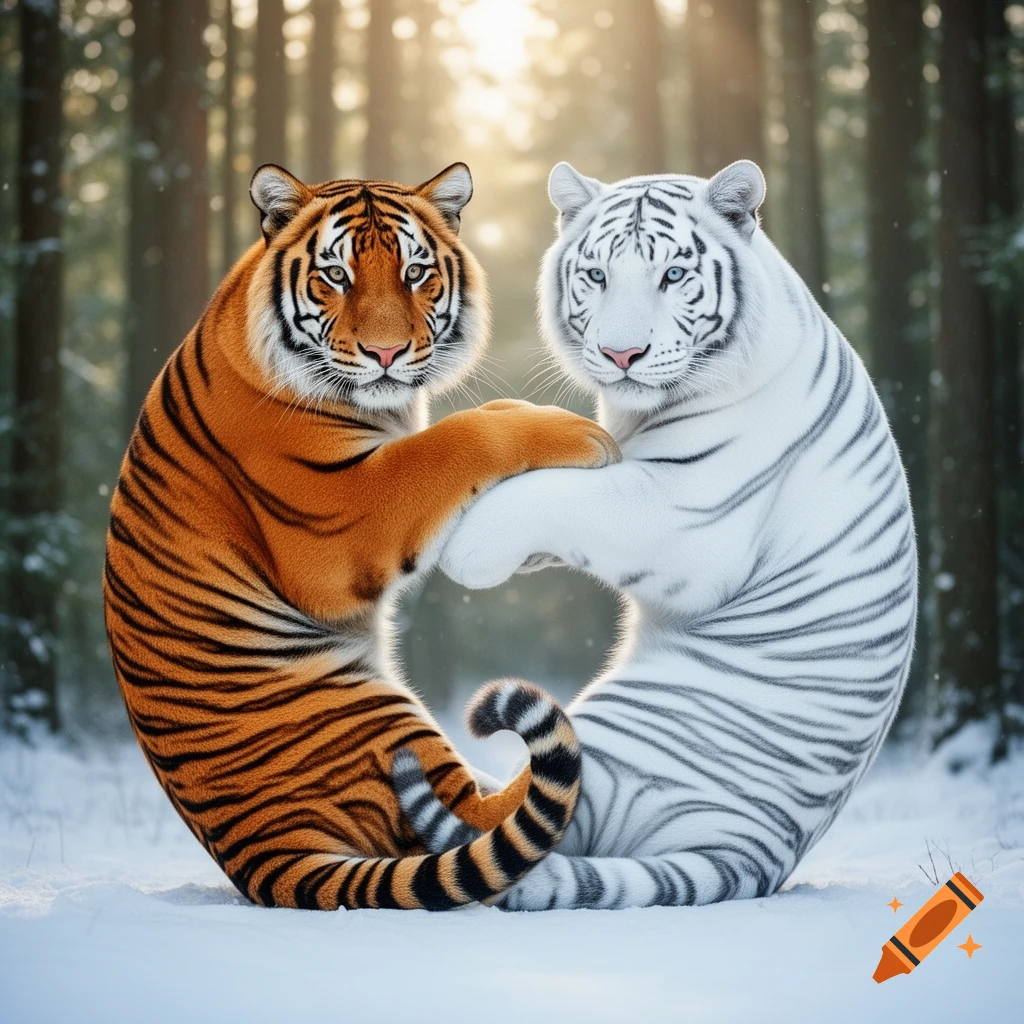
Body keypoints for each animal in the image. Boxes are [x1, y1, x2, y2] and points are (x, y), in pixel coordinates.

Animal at [103, 160, 621, 911]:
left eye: (415, 272)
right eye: (336, 276)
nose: (386, 353)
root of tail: (255, 852)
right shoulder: (343, 512)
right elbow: (456, 438)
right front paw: (580, 431)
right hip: (376, 717)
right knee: (487, 818)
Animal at [395, 159, 917, 910]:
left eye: (673, 274)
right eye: (596, 275)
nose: (622, 354)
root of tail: (756, 851)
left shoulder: (683, 513)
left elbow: (556, 498)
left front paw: (470, 546)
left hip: (611, 742)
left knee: (514, 821)